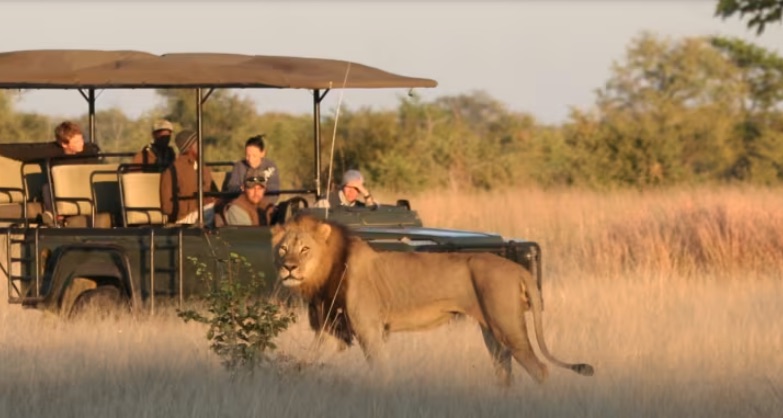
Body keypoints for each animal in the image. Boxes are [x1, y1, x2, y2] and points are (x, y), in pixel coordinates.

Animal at [271, 213, 594, 385]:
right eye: (283, 249)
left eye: (305, 249)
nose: (288, 268)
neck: (324, 273)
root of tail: (516, 267)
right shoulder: (332, 331)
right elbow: (306, 361)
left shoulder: (368, 329)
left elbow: (381, 370)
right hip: (491, 330)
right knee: (504, 371)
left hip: (508, 326)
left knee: (540, 369)